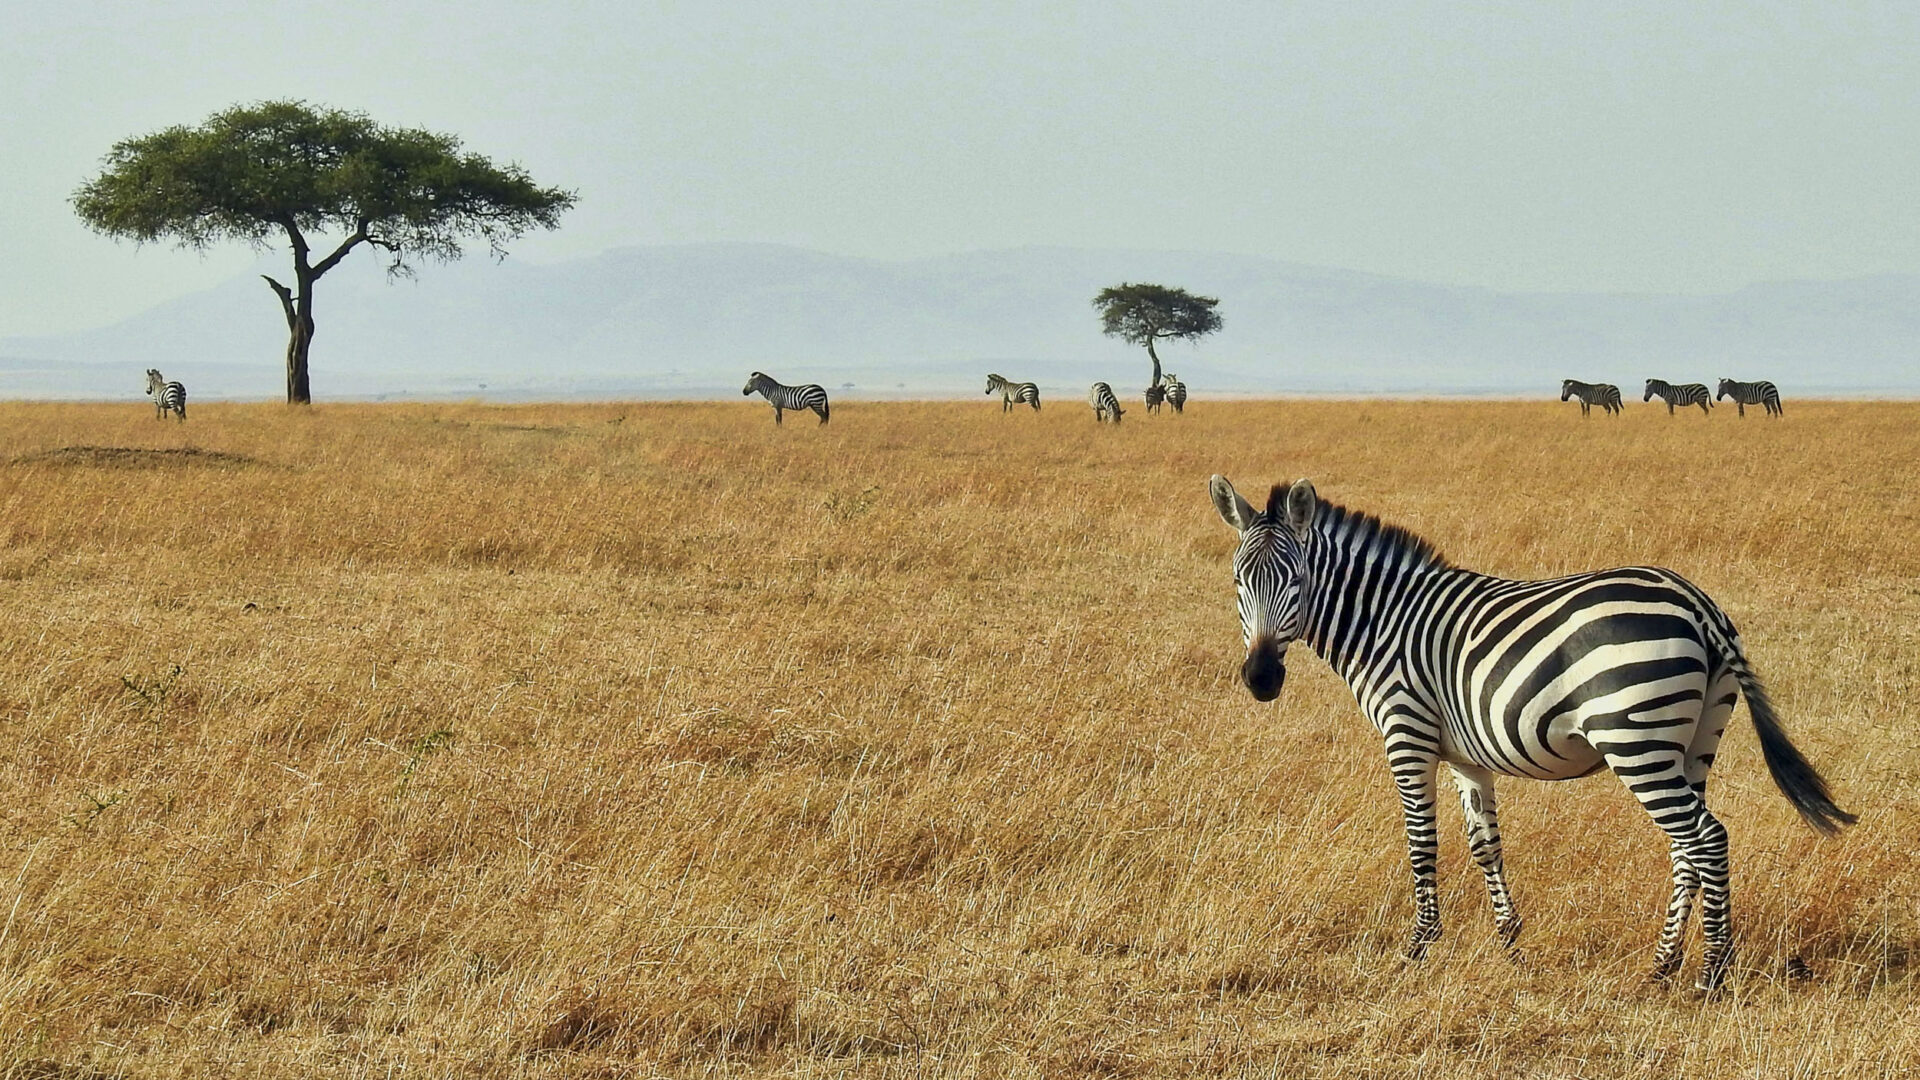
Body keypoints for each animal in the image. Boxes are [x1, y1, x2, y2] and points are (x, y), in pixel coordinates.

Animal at [1208, 475, 1855, 991]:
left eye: (1295, 578)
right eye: (1239, 580)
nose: (1261, 679)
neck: (1385, 620)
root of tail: (1697, 603)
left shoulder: (1407, 734)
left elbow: (1422, 844)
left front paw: (1418, 948)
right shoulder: (1467, 755)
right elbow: (1485, 845)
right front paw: (1509, 942)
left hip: (1635, 739)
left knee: (1708, 839)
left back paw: (1710, 974)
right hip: (1693, 742)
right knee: (1687, 847)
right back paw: (1662, 966)